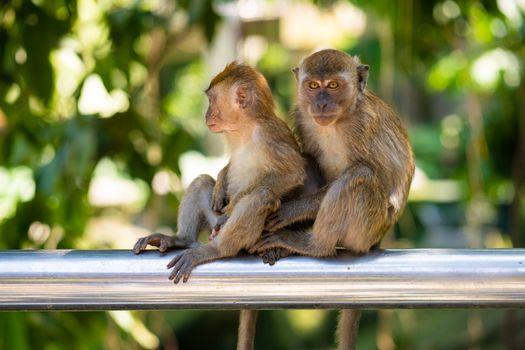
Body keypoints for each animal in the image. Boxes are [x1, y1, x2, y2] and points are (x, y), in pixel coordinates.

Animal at [133, 63, 304, 350]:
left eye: (212, 100)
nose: (206, 114)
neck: (245, 129)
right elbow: (226, 170)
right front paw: (222, 180)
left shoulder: (269, 136)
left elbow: (292, 175)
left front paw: (233, 205)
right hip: (211, 221)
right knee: (202, 182)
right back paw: (180, 238)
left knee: (262, 197)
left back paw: (216, 248)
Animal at [250, 50, 414, 350]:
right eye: (314, 86)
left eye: (334, 85)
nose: (322, 103)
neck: (341, 120)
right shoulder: (302, 117)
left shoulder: (363, 127)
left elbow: (382, 182)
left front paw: (292, 211)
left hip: (367, 229)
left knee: (360, 176)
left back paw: (312, 244)